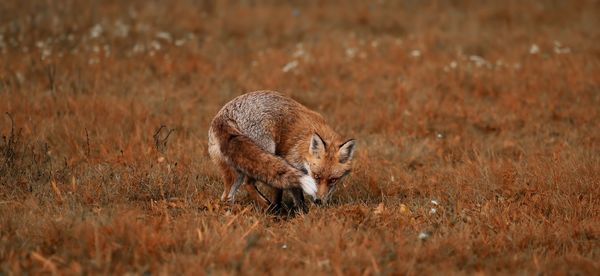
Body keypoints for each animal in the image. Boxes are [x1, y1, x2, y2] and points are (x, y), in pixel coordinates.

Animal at [207, 90, 356, 211]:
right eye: (316, 176)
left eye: (333, 180)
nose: (318, 201)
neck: (305, 147)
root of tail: (223, 117)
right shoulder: (291, 162)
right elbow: (295, 193)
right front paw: (302, 213)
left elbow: (279, 188)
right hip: (264, 152)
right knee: (248, 184)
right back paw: (267, 207)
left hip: (237, 171)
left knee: (226, 196)